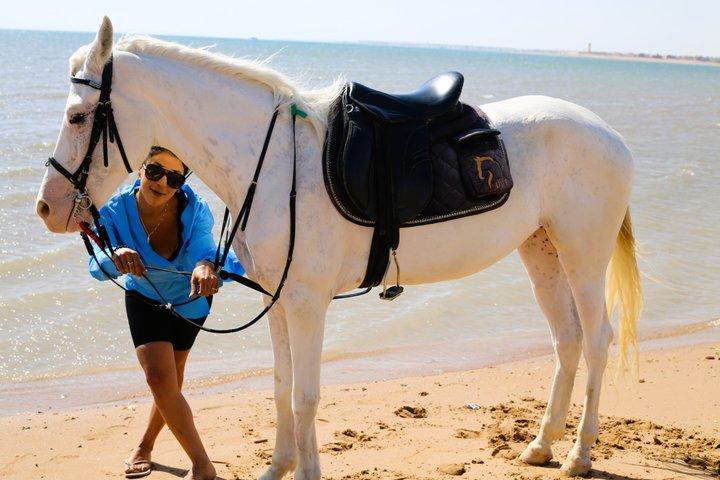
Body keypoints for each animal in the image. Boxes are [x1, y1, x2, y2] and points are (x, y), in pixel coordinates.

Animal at [36, 17, 642, 479]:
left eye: (77, 116)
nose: (46, 208)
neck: (275, 161)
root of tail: (609, 134)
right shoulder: (277, 300)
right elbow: (281, 387)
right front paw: (277, 468)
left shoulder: (307, 303)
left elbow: (305, 395)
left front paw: (305, 472)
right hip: (541, 253)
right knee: (566, 340)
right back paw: (542, 445)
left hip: (583, 256)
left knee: (596, 341)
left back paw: (579, 454)